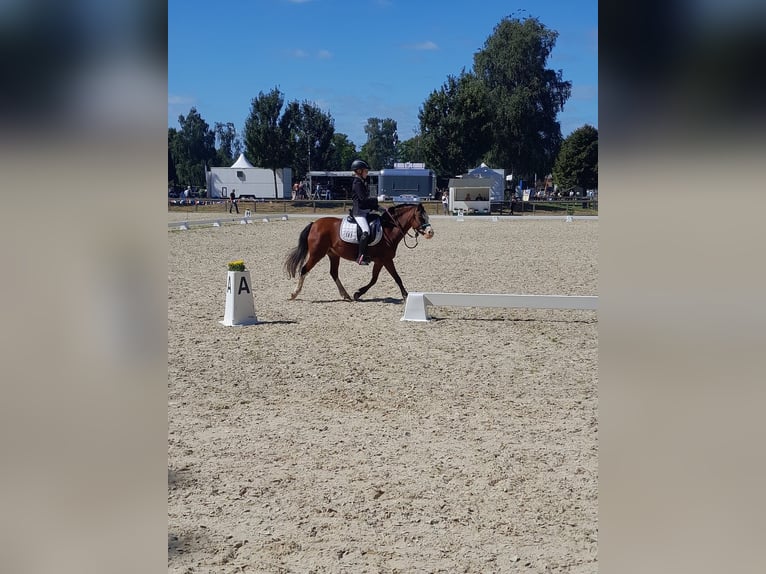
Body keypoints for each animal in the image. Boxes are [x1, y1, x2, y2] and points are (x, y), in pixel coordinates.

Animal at [283, 203, 435, 301]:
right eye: (421, 217)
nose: (430, 232)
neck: (389, 229)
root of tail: (314, 224)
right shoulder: (386, 259)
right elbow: (396, 277)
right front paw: (405, 295)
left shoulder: (380, 261)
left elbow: (374, 279)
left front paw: (358, 293)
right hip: (317, 254)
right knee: (304, 269)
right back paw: (294, 294)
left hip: (333, 255)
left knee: (333, 273)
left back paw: (346, 295)